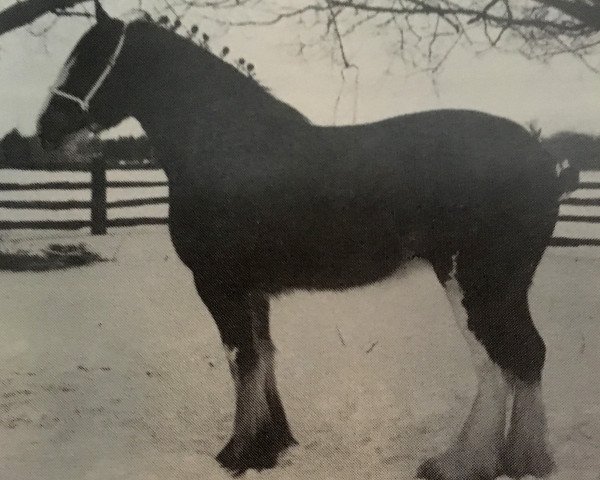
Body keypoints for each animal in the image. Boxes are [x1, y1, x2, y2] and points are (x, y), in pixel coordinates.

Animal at [37, 1, 572, 478]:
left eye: (92, 58)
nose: (46, 130)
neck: (229, 149)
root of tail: (544, 158)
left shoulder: (218, 284)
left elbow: (240, 359)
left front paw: (237, 454)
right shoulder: (252, 289)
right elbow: (263, 357)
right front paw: (273, 445)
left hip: (475, 283)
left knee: (501, 361)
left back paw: (461, 464)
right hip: (503, 287)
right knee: (528, 355)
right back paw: (524, 460)